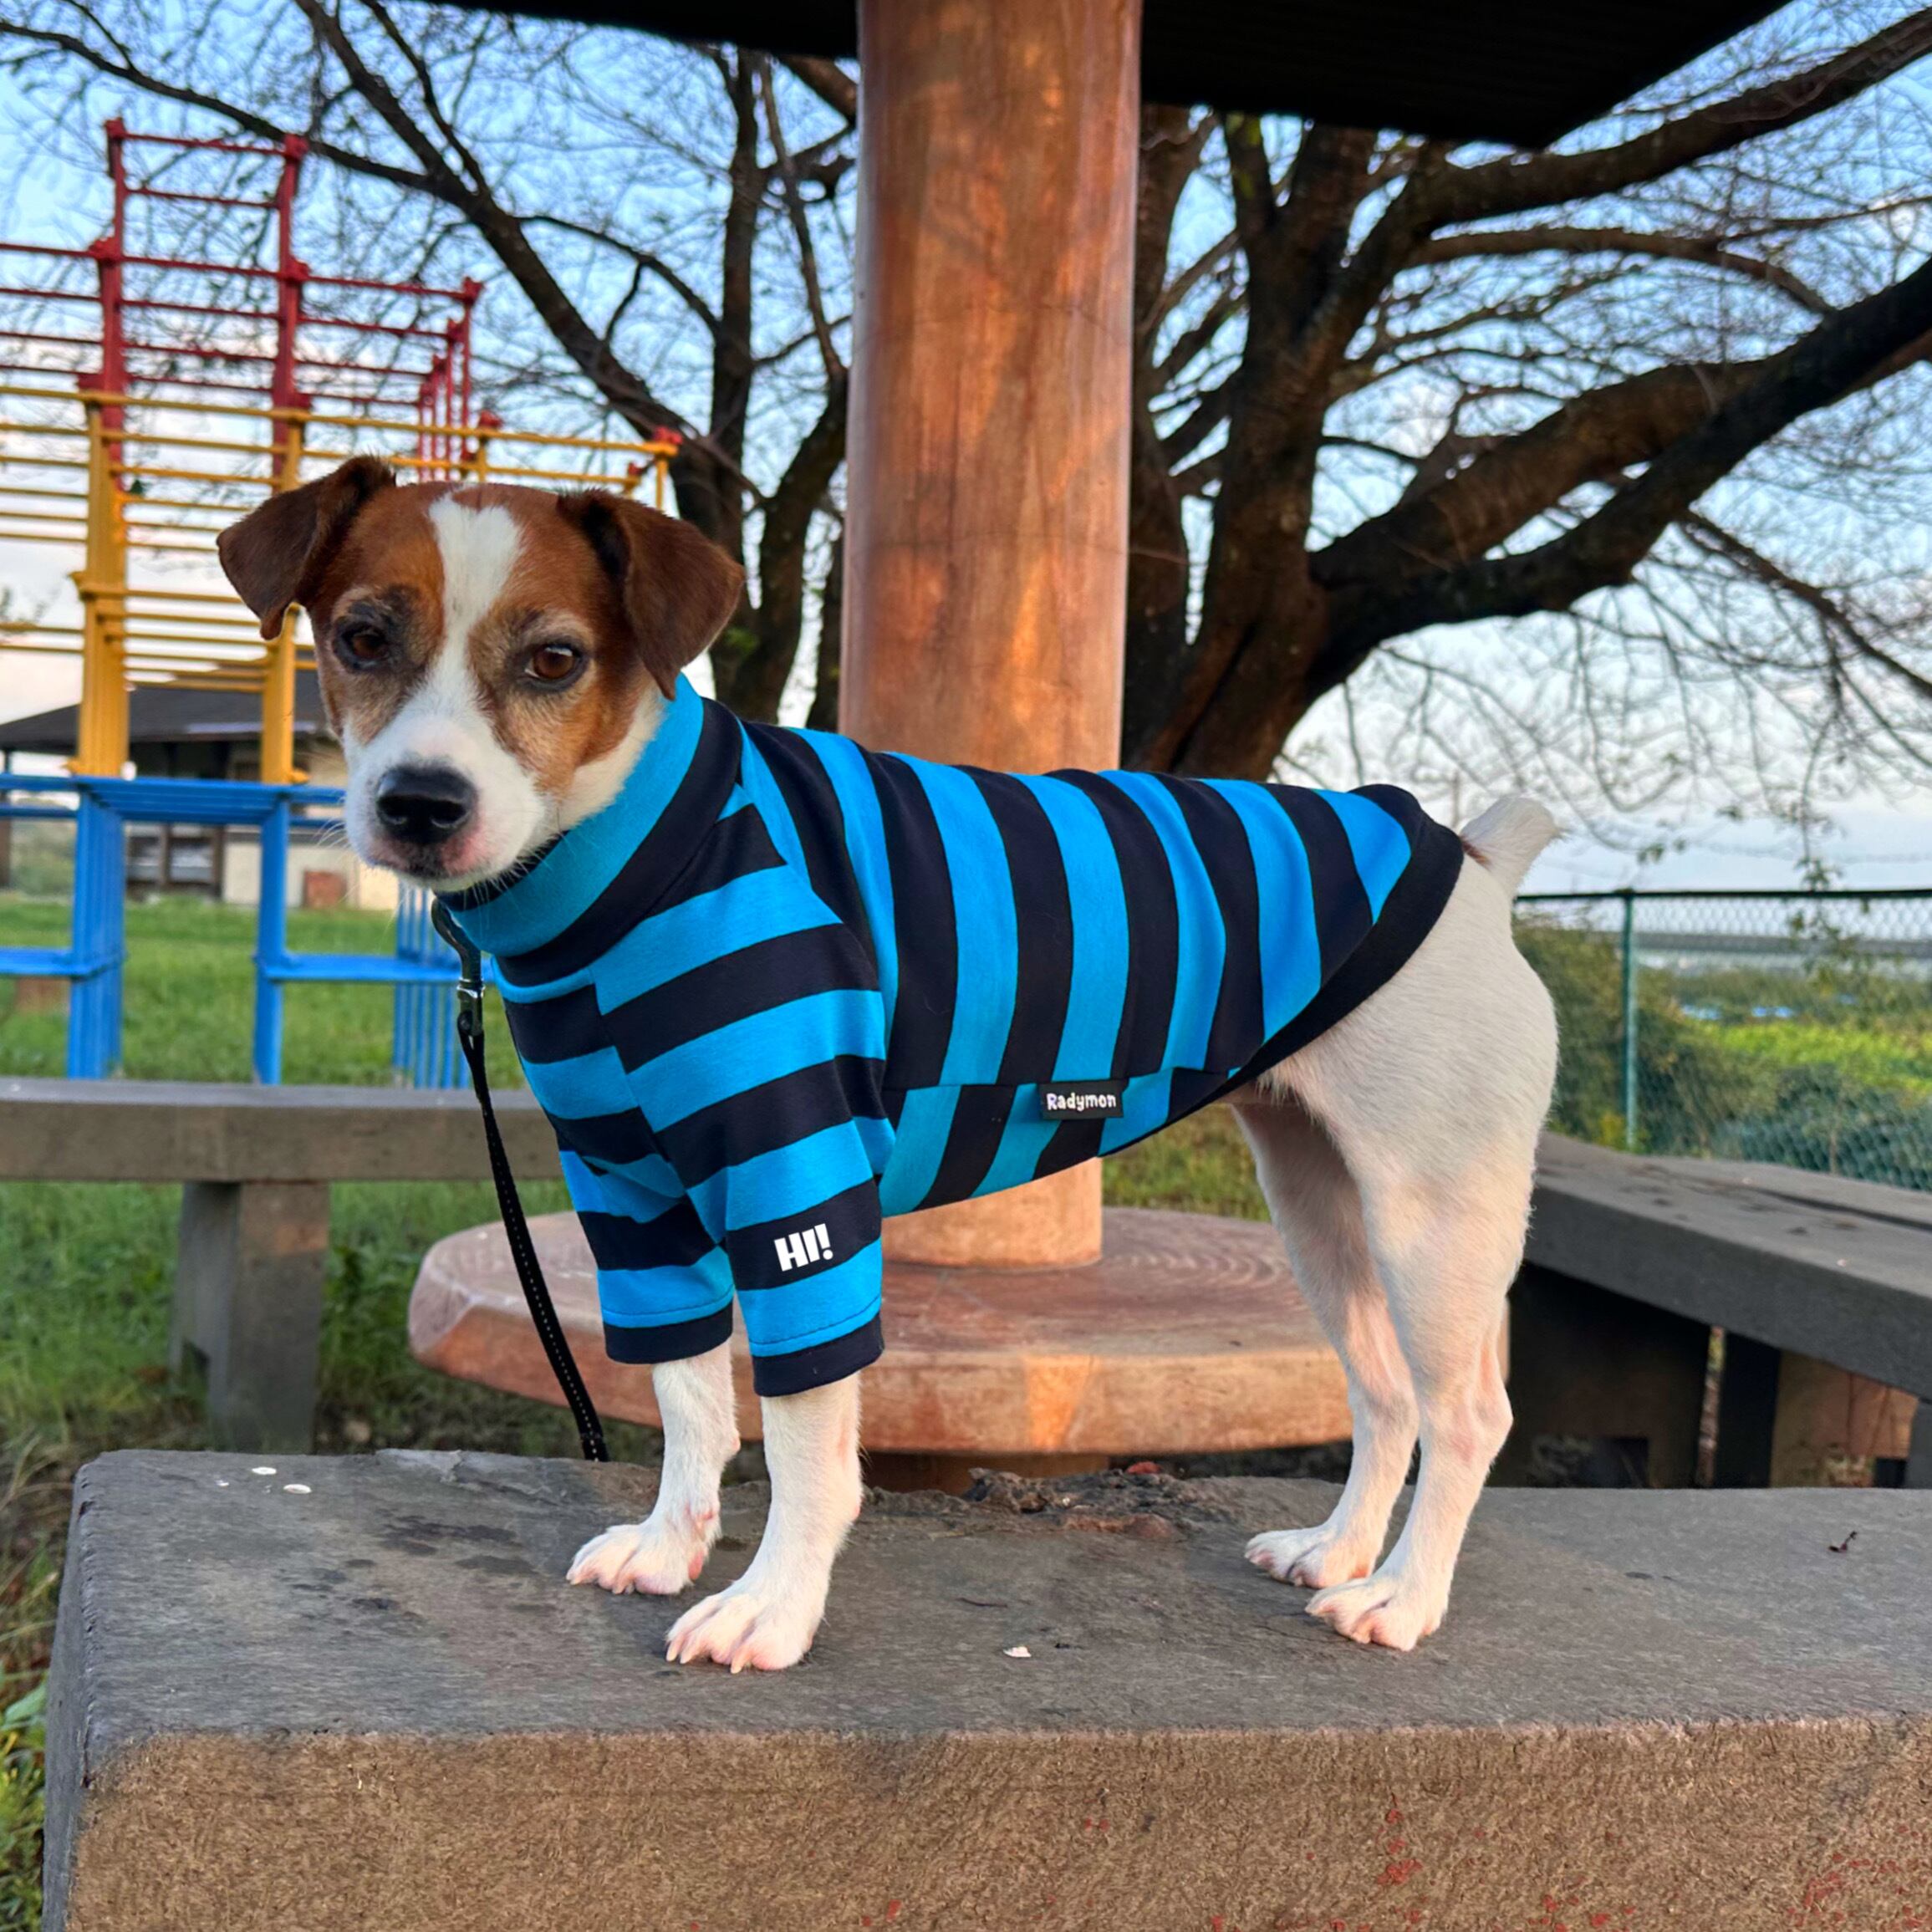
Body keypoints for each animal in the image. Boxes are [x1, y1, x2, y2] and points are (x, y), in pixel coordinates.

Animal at [219, 464, 1559, 1670]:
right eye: (361, 637)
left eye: (553, 660)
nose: (419, 802)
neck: (646, 852)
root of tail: (1468, 859)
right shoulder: (634, 1204)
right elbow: (689, 1394)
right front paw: (671, 1542)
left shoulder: (795, 1193)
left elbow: (805, 1443)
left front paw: (771, 1604)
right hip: (1321, 1208)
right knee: (1386, 1393)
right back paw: (1338, 1551)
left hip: (1431, 1223)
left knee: (1467, 1411)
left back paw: (1402, 1596)